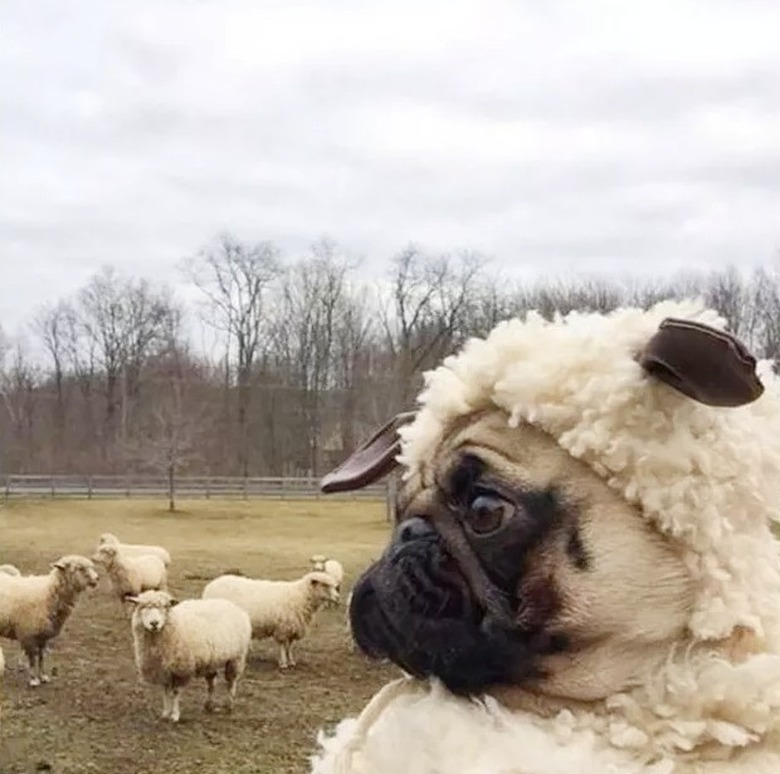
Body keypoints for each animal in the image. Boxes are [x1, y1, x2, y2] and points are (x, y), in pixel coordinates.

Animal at [0, 556, 100, 688]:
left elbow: (42, 657)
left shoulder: (43, 636)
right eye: (80, 568)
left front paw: (43, 676)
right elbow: (32, 659)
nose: (97, 578)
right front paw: (33, 679)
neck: (48, 592)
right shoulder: (28, 633)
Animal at [127, 592, 250, 724]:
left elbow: (175, 692)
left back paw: (229, 705)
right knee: (211, 684)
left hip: (236, 657)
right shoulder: (163, 670)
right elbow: (166, 691)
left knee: (231, 682)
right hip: (211, 661)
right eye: (142, 607)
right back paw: (209, 705)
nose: (154, 623)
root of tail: (233, 605)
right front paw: (165, 713)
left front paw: (175, 715)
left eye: (165, 606)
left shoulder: (180, 669)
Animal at [201, 568, 338, 672]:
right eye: (325, 585)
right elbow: (282, 646)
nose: (337, 597)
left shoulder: (293, 628)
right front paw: (283, 663)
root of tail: (211, 585)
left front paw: (291, 661)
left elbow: (290, 646)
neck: (300, 596)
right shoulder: (283, 628)